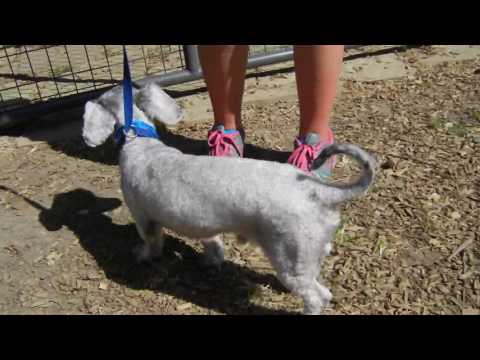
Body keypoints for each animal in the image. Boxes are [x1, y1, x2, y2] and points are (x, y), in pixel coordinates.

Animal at [81, 83, 376, 314]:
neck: (139, 142)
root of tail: (320, 191)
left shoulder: (143, 218)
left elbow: (152, 242)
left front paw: (143, 255)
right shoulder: (206, 227)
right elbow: (212, 244)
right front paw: (211, 260)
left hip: (290, 259)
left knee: (316, 297)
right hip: (308, 255)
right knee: (323, 290)